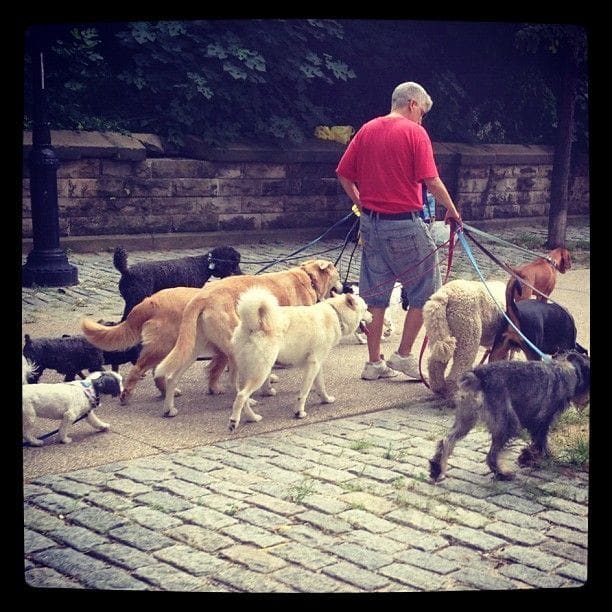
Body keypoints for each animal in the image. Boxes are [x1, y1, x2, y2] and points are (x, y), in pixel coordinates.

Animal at [230, 286, 372, 430]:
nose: (372, 316)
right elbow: (304, 392)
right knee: (241, 396)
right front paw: (299, 412)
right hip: (261, 373)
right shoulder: (313, 364)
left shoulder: (318, 365)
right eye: (366, 309)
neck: (336, 314)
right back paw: (234, 421)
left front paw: (325, 400)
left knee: (242, 397)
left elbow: (320, 386)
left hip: (248, 372)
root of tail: (252, 324)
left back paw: (252, 418)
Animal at [428, 350, 592, 482]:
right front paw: (537, 457)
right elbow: (540, 442)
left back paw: (437, 468)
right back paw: (502, 474)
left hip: (466, 420)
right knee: (491, 455)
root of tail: (478, 376)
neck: (568, 370)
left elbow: (538, 443)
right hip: (507, 424)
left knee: (447, 440)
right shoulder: (542, 421)